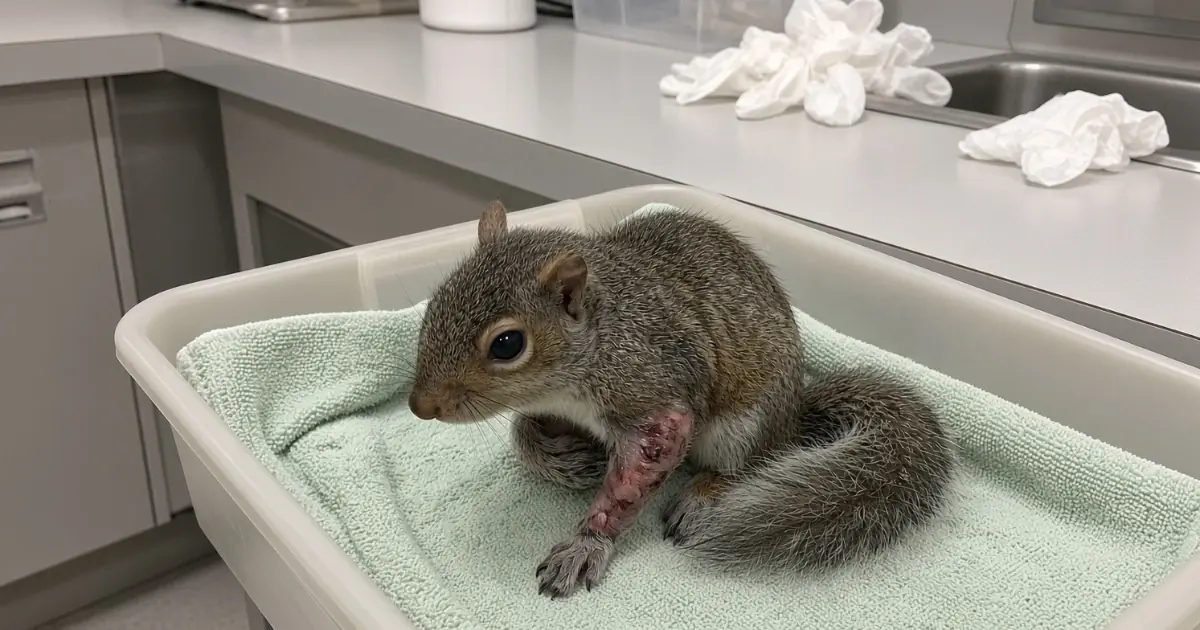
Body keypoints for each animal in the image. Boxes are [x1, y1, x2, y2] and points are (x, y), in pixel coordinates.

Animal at [409, 201, 956, 599]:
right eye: (436, 300)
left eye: (507, 344)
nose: (420, 407)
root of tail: (795, 413)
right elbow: (523, 431)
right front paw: (564, 460)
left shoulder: (651, 395)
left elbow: (633, 479)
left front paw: (586, 544)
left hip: (743, 426)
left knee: (748, 462)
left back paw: (704, 495)